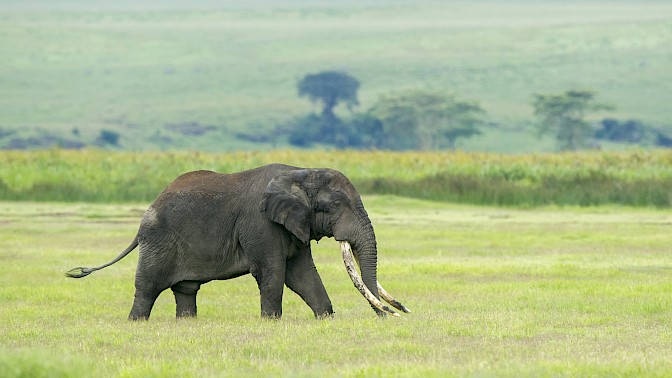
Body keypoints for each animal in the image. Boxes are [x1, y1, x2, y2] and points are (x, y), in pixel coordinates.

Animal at [67, 162, 410, 318]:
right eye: (336, 205)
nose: (387, 314)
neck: (301, 172)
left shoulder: (292, 225)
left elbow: (302, 274)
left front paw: (325, 319)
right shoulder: (260, 224)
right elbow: (273, 273)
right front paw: (271, 323)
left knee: (186, 290)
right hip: (158, 240)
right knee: (148, 288)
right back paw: (136, 323)